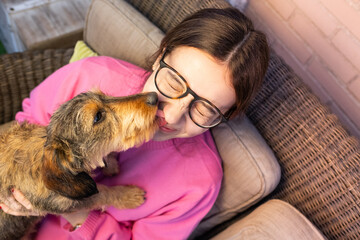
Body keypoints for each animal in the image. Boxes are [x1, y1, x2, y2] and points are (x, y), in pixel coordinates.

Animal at [0, 90, 159, 240]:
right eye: (98, 117)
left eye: (104, 95)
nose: (154, 96)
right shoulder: (68, 203)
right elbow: (103, 193)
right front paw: (129, 195)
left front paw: (110, 164)